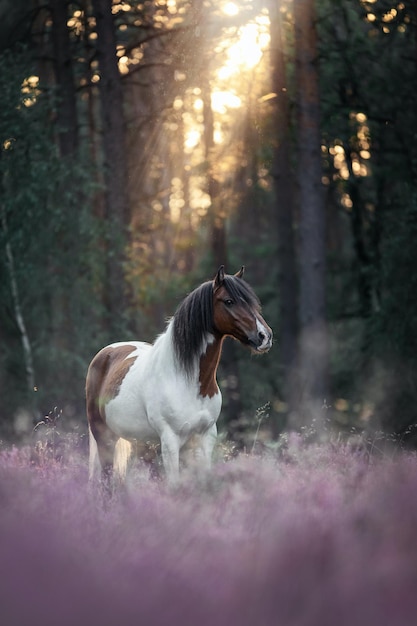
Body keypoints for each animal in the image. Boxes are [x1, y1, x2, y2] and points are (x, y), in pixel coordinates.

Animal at [86, 264, 272, 482]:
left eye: (251, 301)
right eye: (229, 301)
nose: (264, 336)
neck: (186, 380)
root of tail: (106, 353)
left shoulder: (205, 438)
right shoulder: (170, 441)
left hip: (138, 442)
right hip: (104, 437)